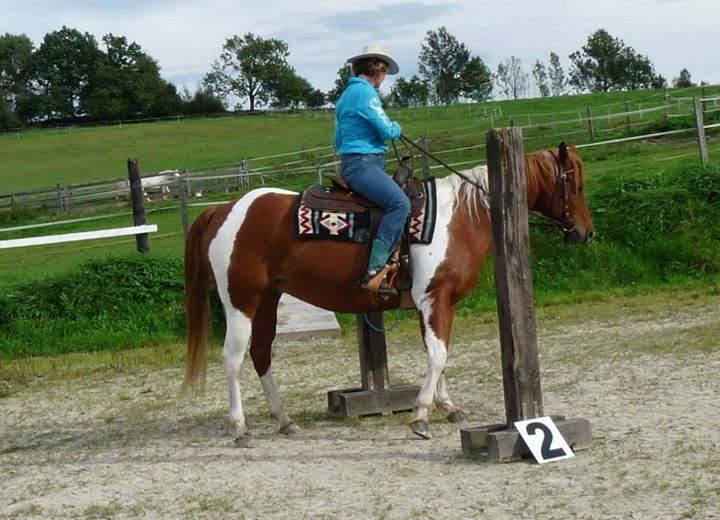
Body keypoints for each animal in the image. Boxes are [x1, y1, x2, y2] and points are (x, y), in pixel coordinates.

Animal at [183, 141, 592, 446]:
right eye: (576, 186)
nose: (586, 232)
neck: (462, 216)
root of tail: (223, 209)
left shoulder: (437, 304)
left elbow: (440, 354)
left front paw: (448, 406)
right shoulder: (434, 298)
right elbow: (438, 355)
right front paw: (421, 416)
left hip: (268, 300)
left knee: (261, 354)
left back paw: (284, 421)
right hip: (241, 301)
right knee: (233, 359)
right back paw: (240, 427)